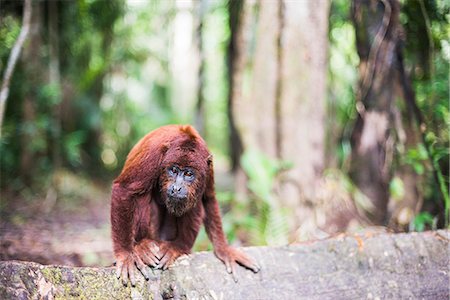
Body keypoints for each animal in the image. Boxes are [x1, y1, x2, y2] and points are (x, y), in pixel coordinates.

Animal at [110, 124, 260, 286]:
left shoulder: (208, 165)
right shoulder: (152, 154)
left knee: (196, 203)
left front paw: (225, 250)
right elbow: (125, 190)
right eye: (174, 170)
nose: (176, 188)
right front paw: (126, 255)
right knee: (141, 195)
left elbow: (209, 198)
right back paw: (142, 246)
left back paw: (178, 247)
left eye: (188, 174)